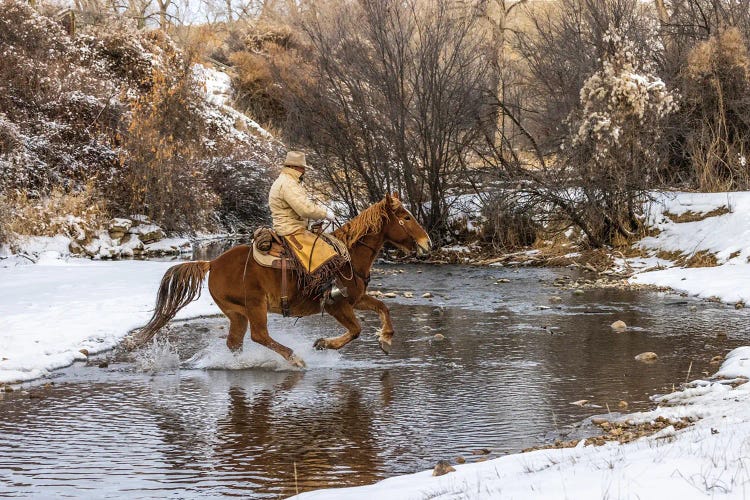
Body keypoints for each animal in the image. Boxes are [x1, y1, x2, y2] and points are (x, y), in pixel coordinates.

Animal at [129, 191, 432, 368]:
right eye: (406, 217)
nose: (427, 243)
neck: (348, 256)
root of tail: (212, 262)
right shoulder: (338, 304)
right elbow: (356, 330)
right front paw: (322, 344)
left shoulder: (356, 299)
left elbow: (384, 308)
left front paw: (386, 339)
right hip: (255, 306)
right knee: (260, 335)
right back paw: (295, 358)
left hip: (237, 313)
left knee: (236, 342)